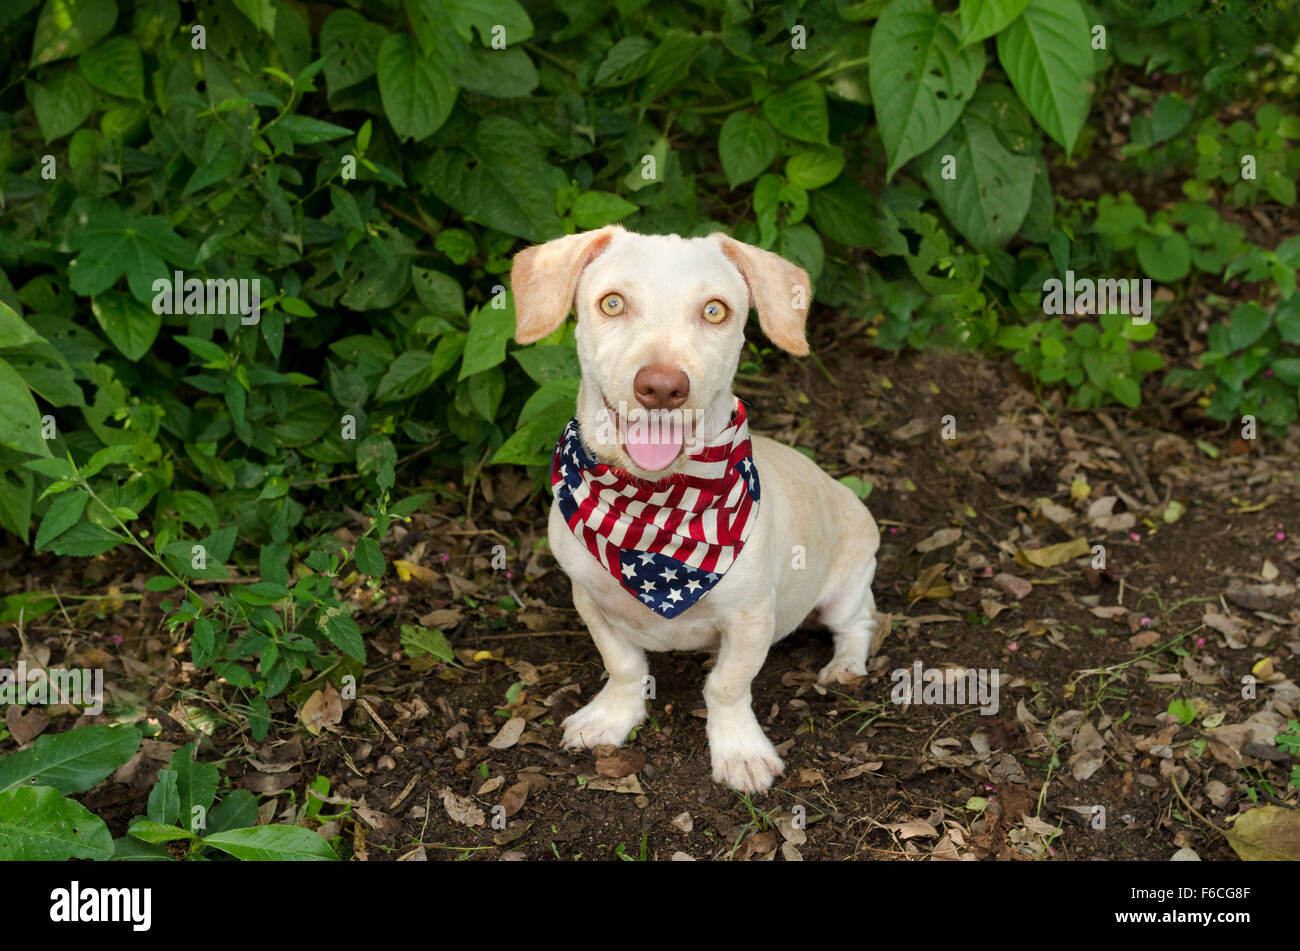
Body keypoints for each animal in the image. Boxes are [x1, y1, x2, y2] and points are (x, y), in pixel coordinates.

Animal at [512, 226, 878, 789]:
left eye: (714, 310)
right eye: (612, 302)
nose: (662, 387)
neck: (655, 509)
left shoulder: (752, 620)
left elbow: (727, 686)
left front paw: (739, 752)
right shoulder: (590, 601)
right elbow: (624, 667)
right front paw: (612, 717)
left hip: (846, 587)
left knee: (858, 624)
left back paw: (845, 668)